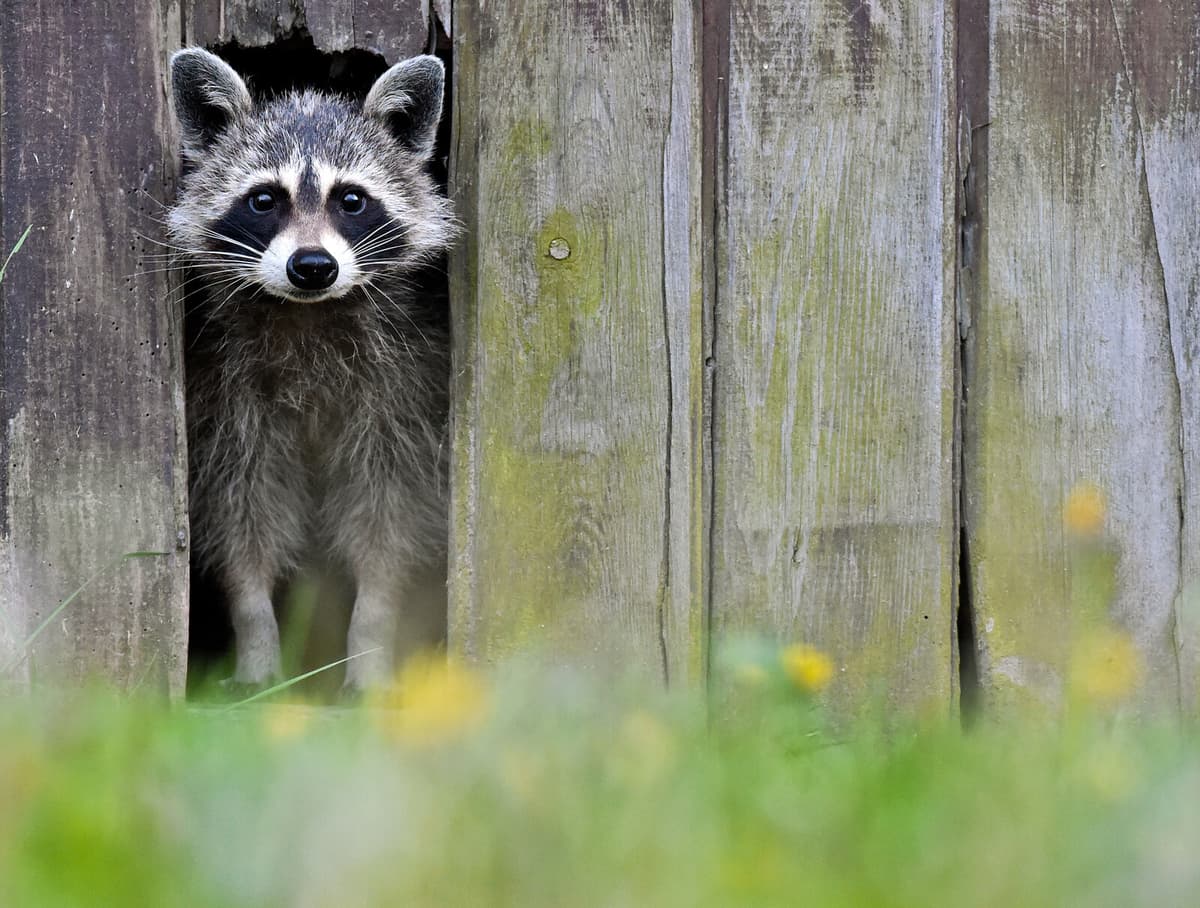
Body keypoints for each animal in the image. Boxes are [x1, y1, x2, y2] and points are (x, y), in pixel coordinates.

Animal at [168, 47, 453, 690]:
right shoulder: (226, 400)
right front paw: (254, 629)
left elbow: (389, 517)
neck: (307, 313)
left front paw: (372, 632)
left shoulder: (405, 392)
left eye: (351, 200)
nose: (313, 266)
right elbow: (241, 513)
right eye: (263, 200)